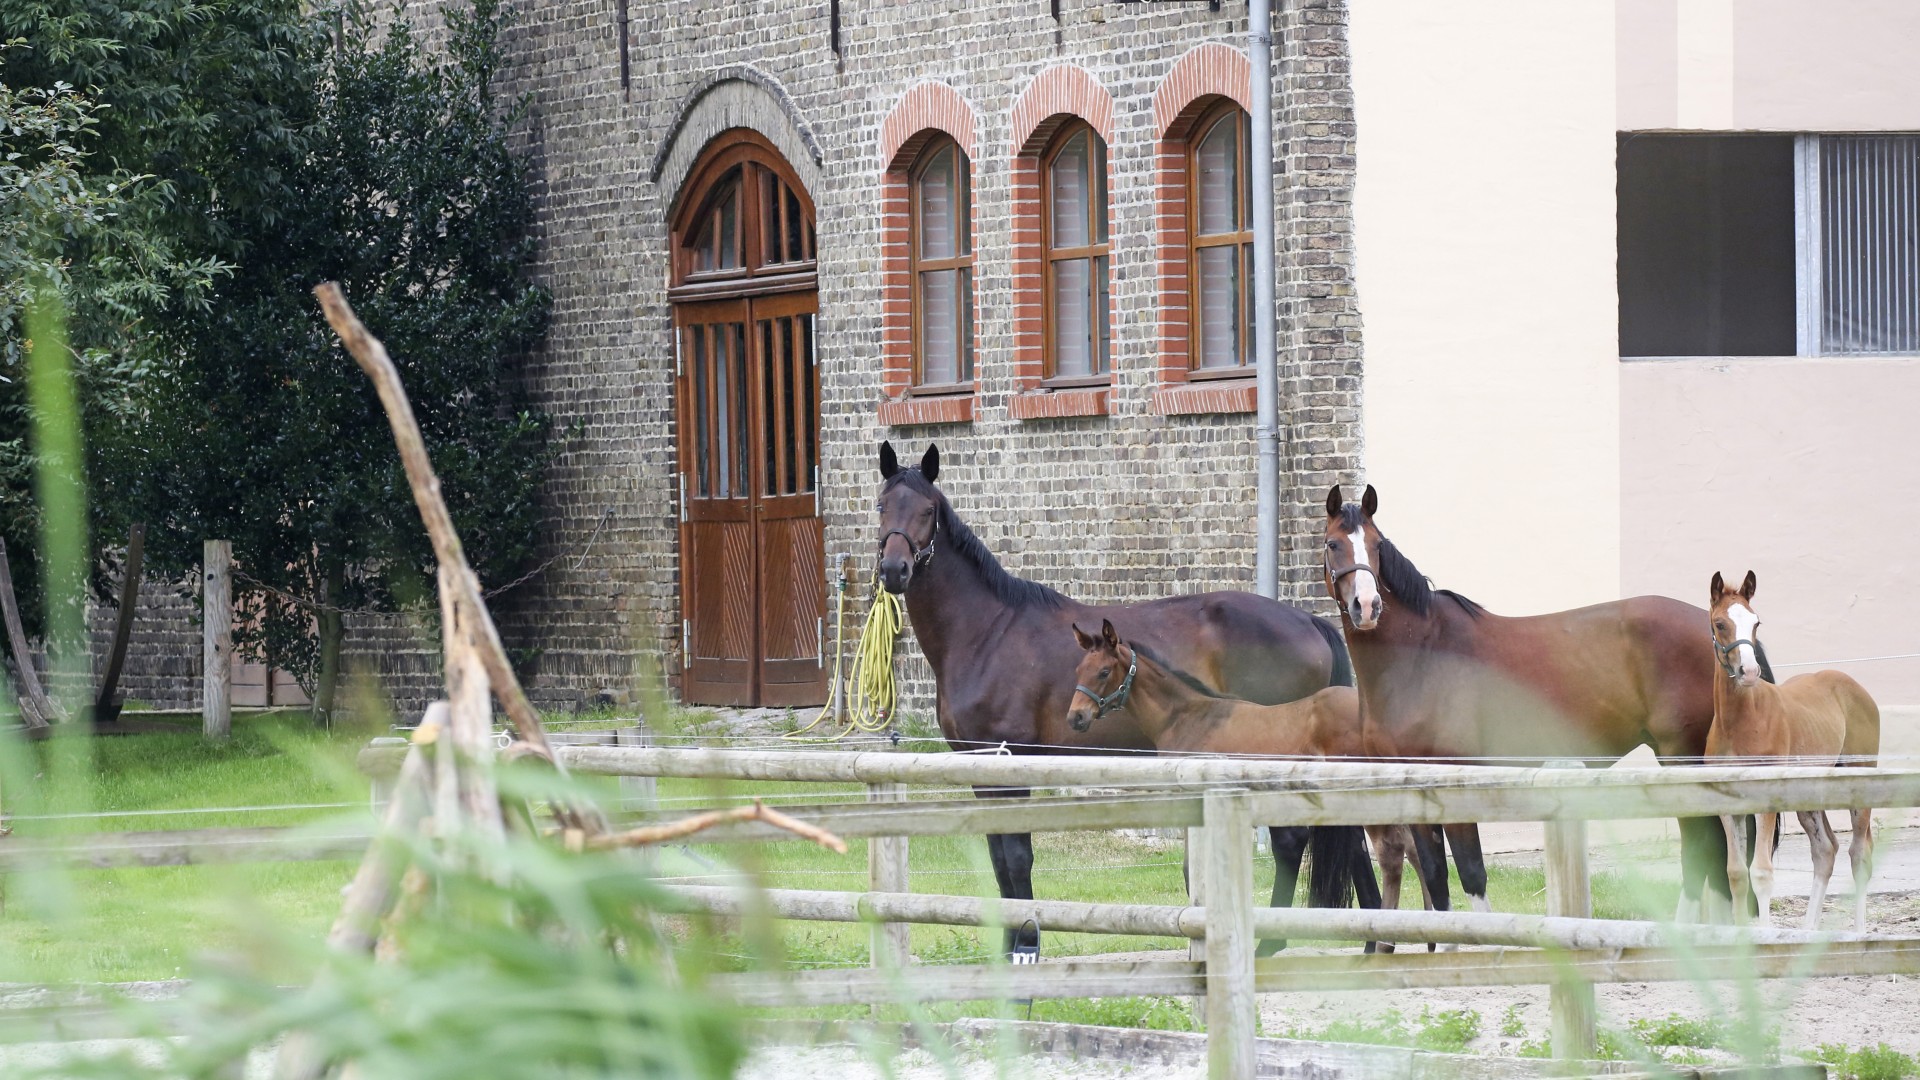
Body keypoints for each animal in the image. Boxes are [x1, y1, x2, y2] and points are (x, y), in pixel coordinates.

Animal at [879, 441, 1374, 945]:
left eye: (927, 510)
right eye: (882, 505)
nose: (894, 569)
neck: (987, 632)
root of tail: (1308, 621)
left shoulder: (1011, 765)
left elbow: (1016, 860)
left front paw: (1027, 942)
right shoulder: (981, 770)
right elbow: (1000, 864)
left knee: (1292, 843)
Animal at [1320, 486, 1766, 914]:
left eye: (1377, 545)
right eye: (1332, 544)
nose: (1367, 606)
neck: (1421, 655)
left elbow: (1472, 876)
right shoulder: (1413, 790)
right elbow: (1436, 879)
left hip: (1680, 758)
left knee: (1703, 852)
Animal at [1712, 568, 1873, 930]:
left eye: (1756, 622)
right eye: (1719, 623)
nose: (1749, 671)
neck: (1739, 723)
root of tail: (1853, 685)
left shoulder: (1766, 799)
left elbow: (1761, 873)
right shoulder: (1728, 807)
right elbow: (1735, 874)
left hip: (1860, 780)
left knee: (1859, 853)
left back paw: (1859, 932)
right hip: (1809, 791)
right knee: (1825, 850)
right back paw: (1809, 931)